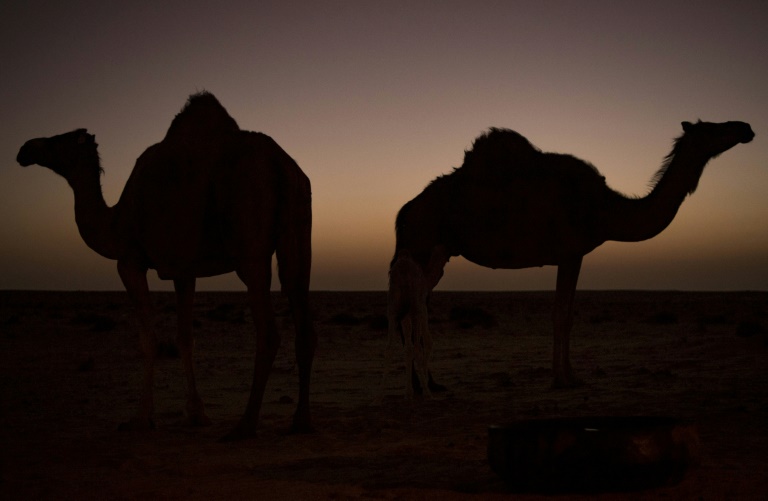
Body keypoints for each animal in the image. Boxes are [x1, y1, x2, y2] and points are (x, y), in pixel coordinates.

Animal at [15, 92, 316, 440]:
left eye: (57, 140)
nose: (25, 149)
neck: (116, 221)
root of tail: (281, 165)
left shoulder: (130, 261)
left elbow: (149, 340)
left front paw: (140, 419)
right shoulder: (183, 270)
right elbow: (185, 338)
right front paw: (196, 414)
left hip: (249, 248)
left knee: (268, 330)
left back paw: (245, 425)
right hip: (298, 230)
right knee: (302, 314)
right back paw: (301, 421)